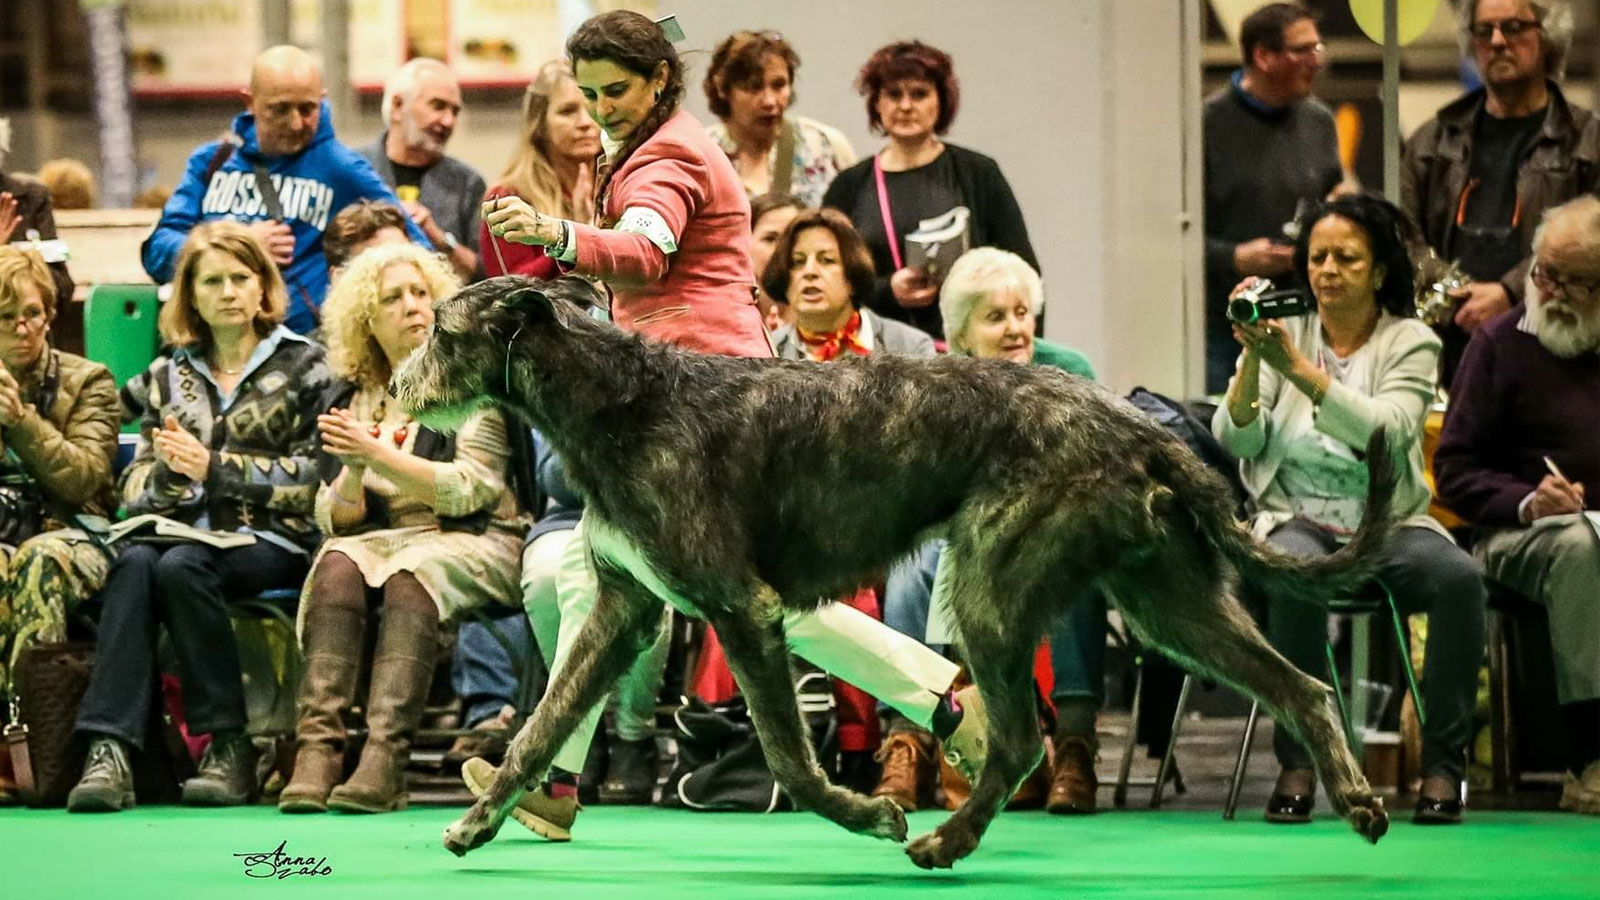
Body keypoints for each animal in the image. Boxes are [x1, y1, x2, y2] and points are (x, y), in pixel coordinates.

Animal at [393, 275, 1395, 871]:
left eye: (439, 327)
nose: (396, 388)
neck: (623, 402)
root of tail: (1143, 426)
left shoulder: (740, 608)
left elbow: (789, 760)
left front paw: (867, 812)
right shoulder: (627, 608)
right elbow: (539, 726)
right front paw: (477, 822)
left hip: (995, 583)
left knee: (1023, 737)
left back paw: (944, 837)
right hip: (1167, 600)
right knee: (1302, 686)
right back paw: (1357, 799)